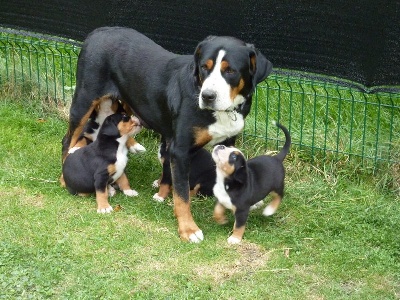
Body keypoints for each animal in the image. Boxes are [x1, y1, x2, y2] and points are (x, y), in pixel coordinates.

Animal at [61, 27, 272, 243]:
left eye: (230, 71)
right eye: (204, 67)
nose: (207, 96)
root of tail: (99, 31)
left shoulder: (227, 143)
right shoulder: (181, 150)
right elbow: (182, 195)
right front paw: (188, 229)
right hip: (84, 101)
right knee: (67, 141)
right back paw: (64, 178)